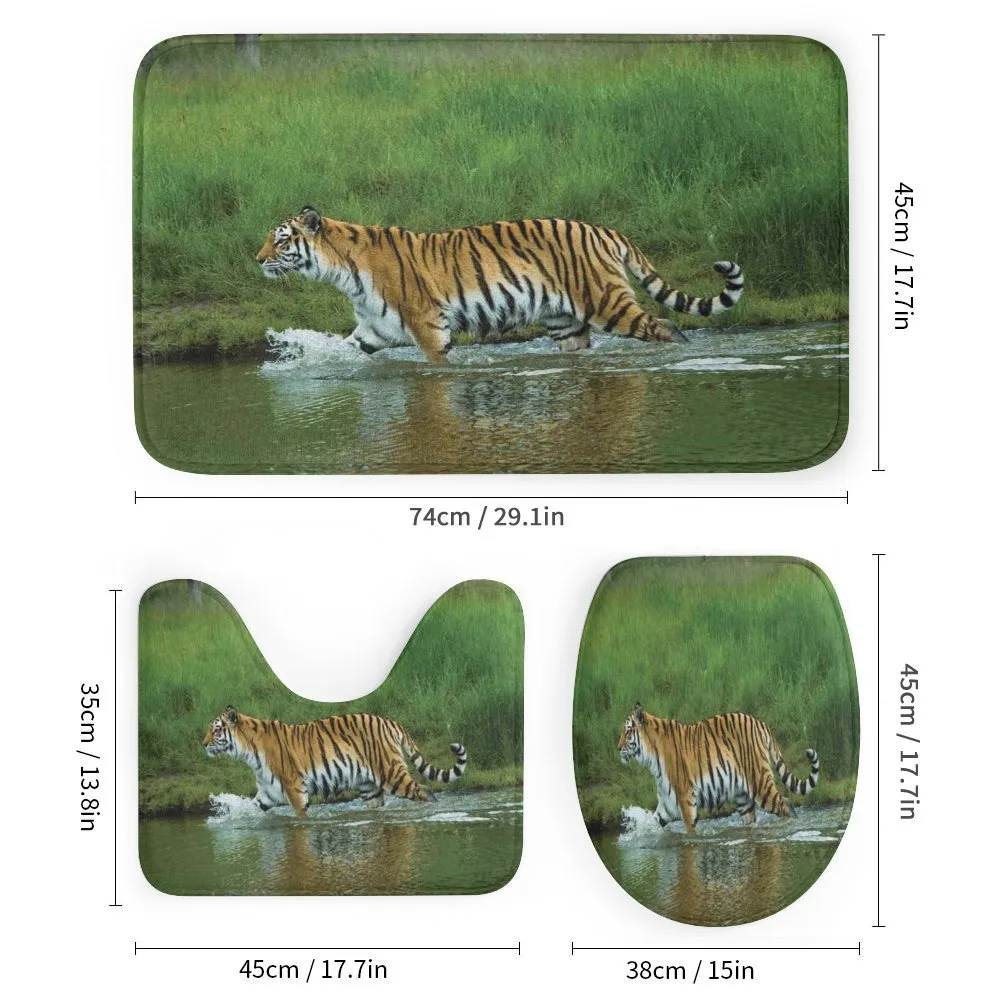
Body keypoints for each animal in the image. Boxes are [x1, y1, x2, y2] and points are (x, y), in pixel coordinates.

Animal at [202, 705, 467, 816]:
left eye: (216, 730)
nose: (203, 743)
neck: (248, 753)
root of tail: (391, 722)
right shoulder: (268, 792)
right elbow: (250, 808)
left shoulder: (295, 789)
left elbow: (301, 818)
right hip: (370, 788)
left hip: (391, 773)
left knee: (424, 790)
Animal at [256, 207, 744, 363]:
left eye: (280, 239)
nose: (257, 260)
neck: (342, 272)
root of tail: (606, 230)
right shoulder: (374, 329)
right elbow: (341, 350)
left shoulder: (428, 327)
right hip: (566, 322)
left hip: (607, 302)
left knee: (665, 326)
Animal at [617, 703, 819, 834]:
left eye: (627, 732)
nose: (618, 748)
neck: (651, 758)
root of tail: (761, 723)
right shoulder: (667, 803)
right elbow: (653, 822)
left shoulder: (685, 796)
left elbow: (690, 830)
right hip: (743, 797)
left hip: (760, 782)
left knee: (785, 804)